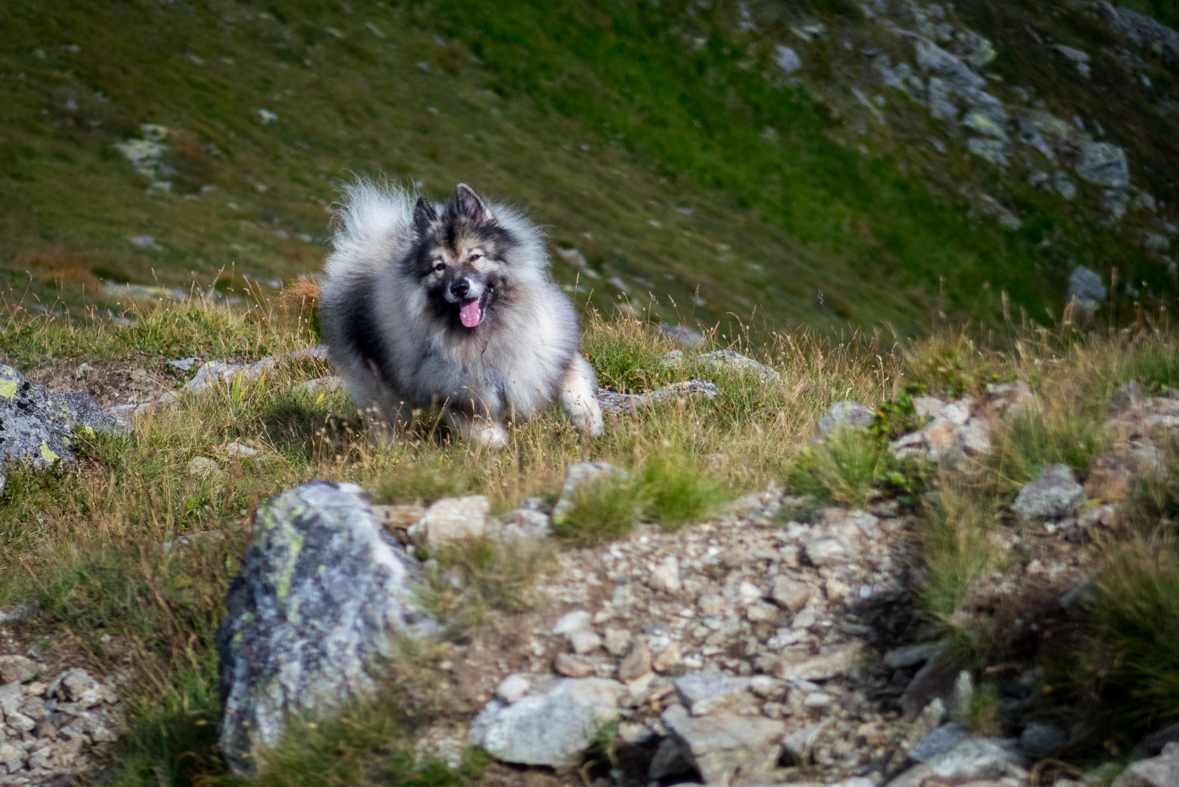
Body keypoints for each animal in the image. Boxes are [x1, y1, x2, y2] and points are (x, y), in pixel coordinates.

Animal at [318, 180, 603, 445]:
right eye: (439, 266)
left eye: (475, 256)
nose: (459, 288)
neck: (489, 332)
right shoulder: (454, 391)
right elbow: (479, 426)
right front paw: (500, 445)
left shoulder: (550, 354)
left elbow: (575, 383)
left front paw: (589, 422)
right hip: (380, 387)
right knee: (386, 420)